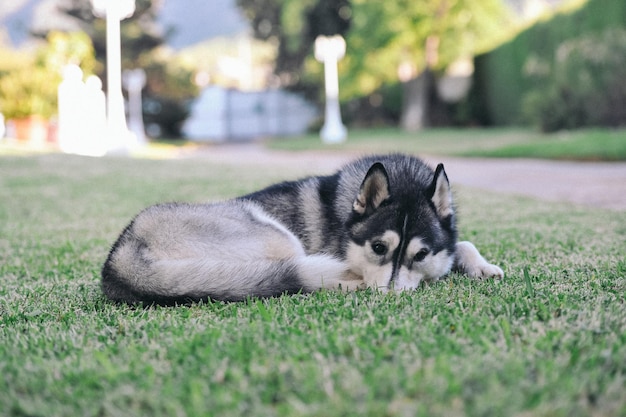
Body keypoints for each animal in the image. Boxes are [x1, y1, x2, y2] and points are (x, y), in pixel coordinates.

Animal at [102, 153, 502, 302]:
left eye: (420, 254)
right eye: (378, 248)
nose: (387, 297)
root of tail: (121, 253)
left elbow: (461, 244)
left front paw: (482, 266)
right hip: (279, 237)